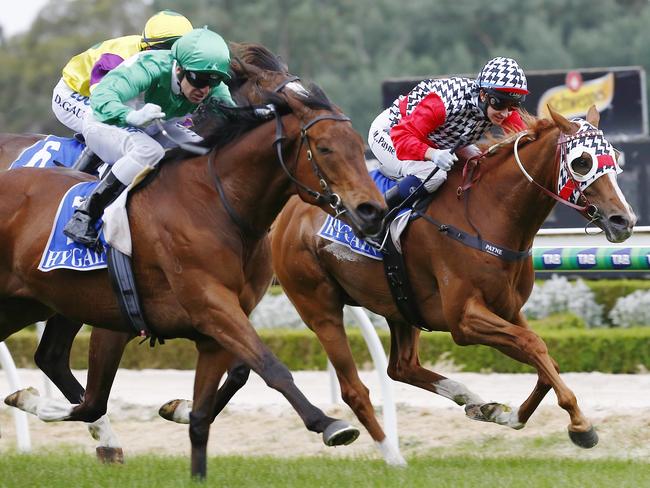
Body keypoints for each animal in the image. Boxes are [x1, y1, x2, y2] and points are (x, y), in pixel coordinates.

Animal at [0, 55, 384, 478]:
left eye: (359, 145)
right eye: (326, 148)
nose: (373, 210)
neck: (215, 202)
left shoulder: (217, 323)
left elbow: (224, 389)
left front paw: (181, 412)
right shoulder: (206, 307)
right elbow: (271, 366)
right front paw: (329, 424)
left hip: (29, 305)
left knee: (53, 360)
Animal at [266, 106, 632, 454]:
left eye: (614, 158)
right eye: (581, 162)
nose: (623, 221)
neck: (488, 213)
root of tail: (285, 214)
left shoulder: (508, 309)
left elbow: (544, 359)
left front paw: (508, 415)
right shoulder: (463, 320)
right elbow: (533, 345)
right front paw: (580, 425)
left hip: (399, 304)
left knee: (401, 367)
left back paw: (474, 401)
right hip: (319, 307)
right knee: (354, 387)